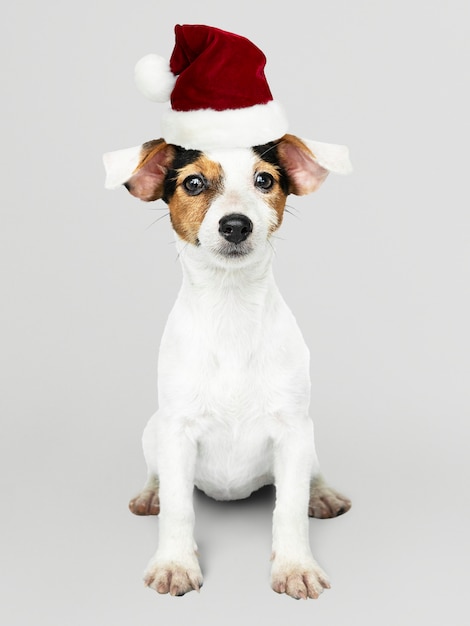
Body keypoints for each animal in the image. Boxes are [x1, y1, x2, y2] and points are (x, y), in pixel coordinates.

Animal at [103, 24, 352, 600]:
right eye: (193, 183)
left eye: (265, 180)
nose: (236, 225)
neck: (232, 308)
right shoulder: (176, 432)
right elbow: (179, 510)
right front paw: (175, 562)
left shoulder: (292, 432)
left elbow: (287, 512)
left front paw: (295, 565)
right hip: (154, 430)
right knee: (161, 480)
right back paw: (149, 493)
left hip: (309, 437)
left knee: (307, 477)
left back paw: (321, 493)